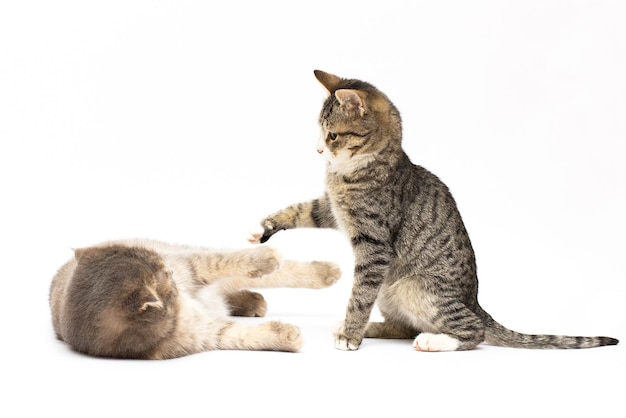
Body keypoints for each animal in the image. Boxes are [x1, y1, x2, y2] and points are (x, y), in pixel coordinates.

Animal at [49, 238, 342, 360]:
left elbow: (232, 260)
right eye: (164, 278)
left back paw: (325, 271)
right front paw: (286, 336)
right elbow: (241, 335)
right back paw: (252, 302)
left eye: (163, 268)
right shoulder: (204, 333)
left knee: (267, 274)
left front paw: (267, 254)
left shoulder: (193, 266)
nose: (170, 270)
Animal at [247, 70, 616, 352]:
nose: (318, 149)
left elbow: (359, 296)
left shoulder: (374, 244)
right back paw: (374, 328)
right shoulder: (332, 209)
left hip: (414, 286)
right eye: (321, 133)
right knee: (404, 327)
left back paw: (433, 341)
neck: (356, 169)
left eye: (333, 135)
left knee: (471, 331)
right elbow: (301, 210)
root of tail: (475, 302)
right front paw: (263, 227)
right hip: (390, 289)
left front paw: (350, 335)